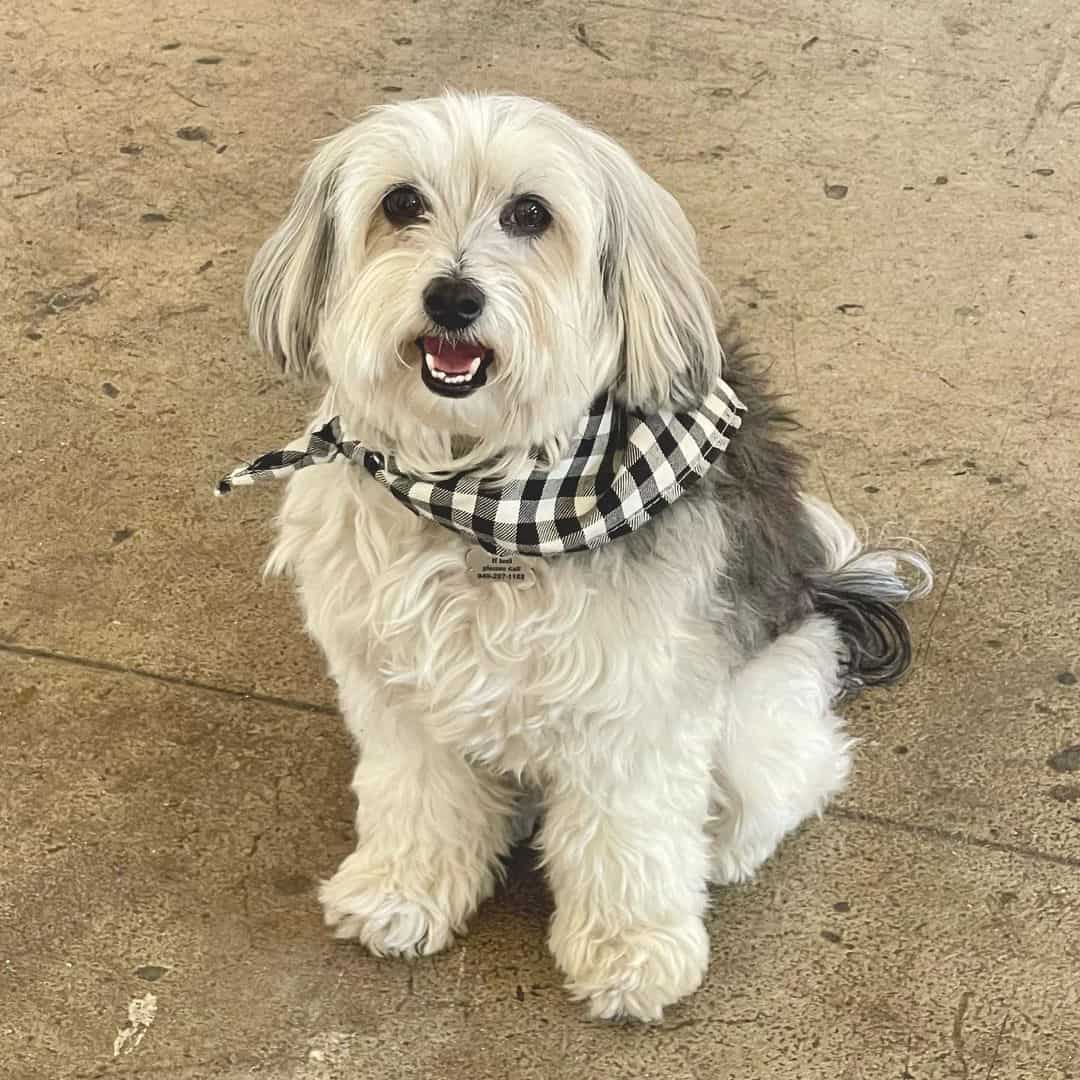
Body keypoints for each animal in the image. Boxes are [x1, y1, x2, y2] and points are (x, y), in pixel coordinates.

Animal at [230, 92, 937, 1019]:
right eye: (401, 203)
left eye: (530, 214)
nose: (452, 297)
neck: (488, 496)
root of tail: (826, 590)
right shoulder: (396, 691)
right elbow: (416, 797)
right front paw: (403, 891)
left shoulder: (636, 705)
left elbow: (628, 839)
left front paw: (632, 952)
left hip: (763, 710)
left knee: (801, 775)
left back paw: (723, 846)